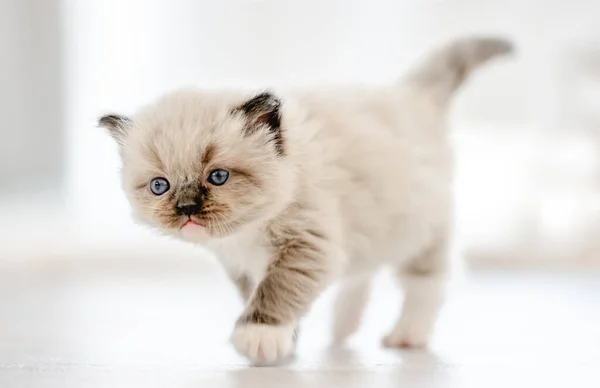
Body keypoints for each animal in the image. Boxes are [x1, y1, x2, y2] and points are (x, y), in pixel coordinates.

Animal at [98, 35, 510, 364]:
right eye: (160, 186)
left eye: (217, 177)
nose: (185, 209)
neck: (246, 233)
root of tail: (411, 94)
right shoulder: (247, 265)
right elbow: (262, 294)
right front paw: (286, 344)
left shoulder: (307, 246)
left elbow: (276, 291)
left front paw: (258, 337)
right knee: (361, 273)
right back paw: (342, 328)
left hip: (420, 233)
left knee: (425, 287)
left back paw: (406, 336)